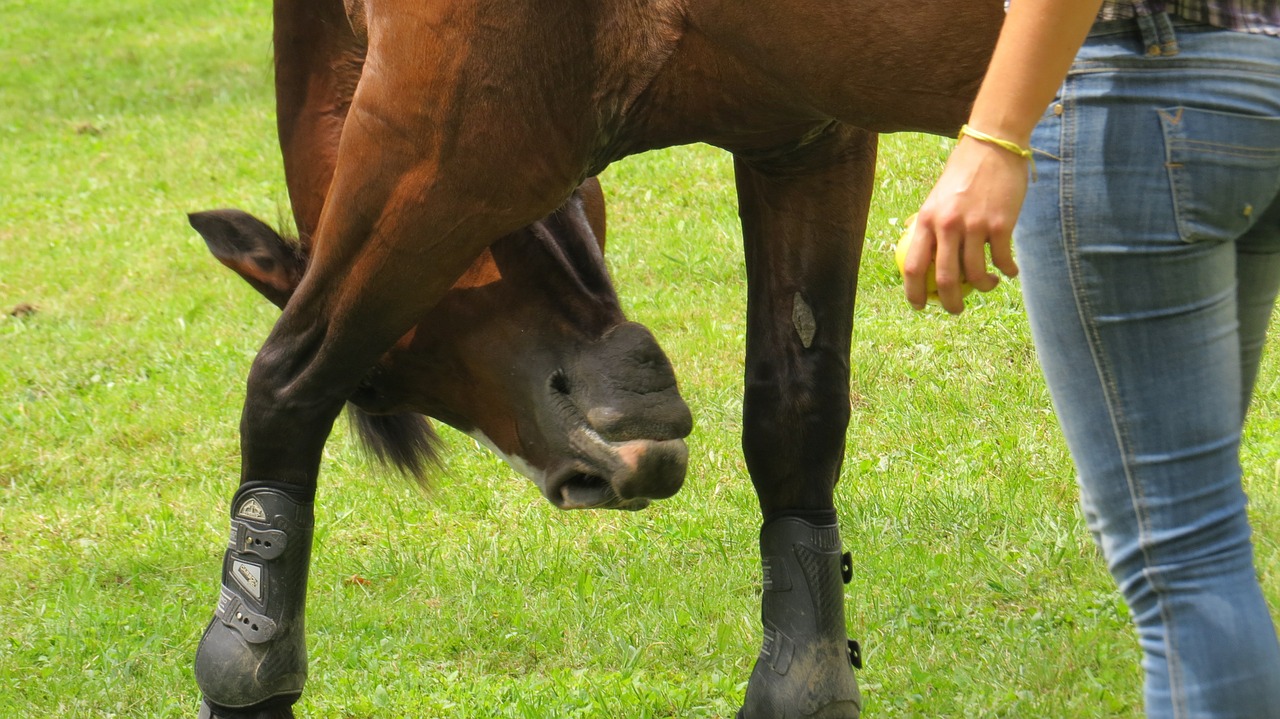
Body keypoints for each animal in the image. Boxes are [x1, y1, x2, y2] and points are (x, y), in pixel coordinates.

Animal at [189, 2, 1003, 711]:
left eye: (375, 384)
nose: (596, 473)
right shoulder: (804, 141)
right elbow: (794, 426)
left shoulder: (433, 153)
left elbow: (283, 388)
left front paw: (245, 670)